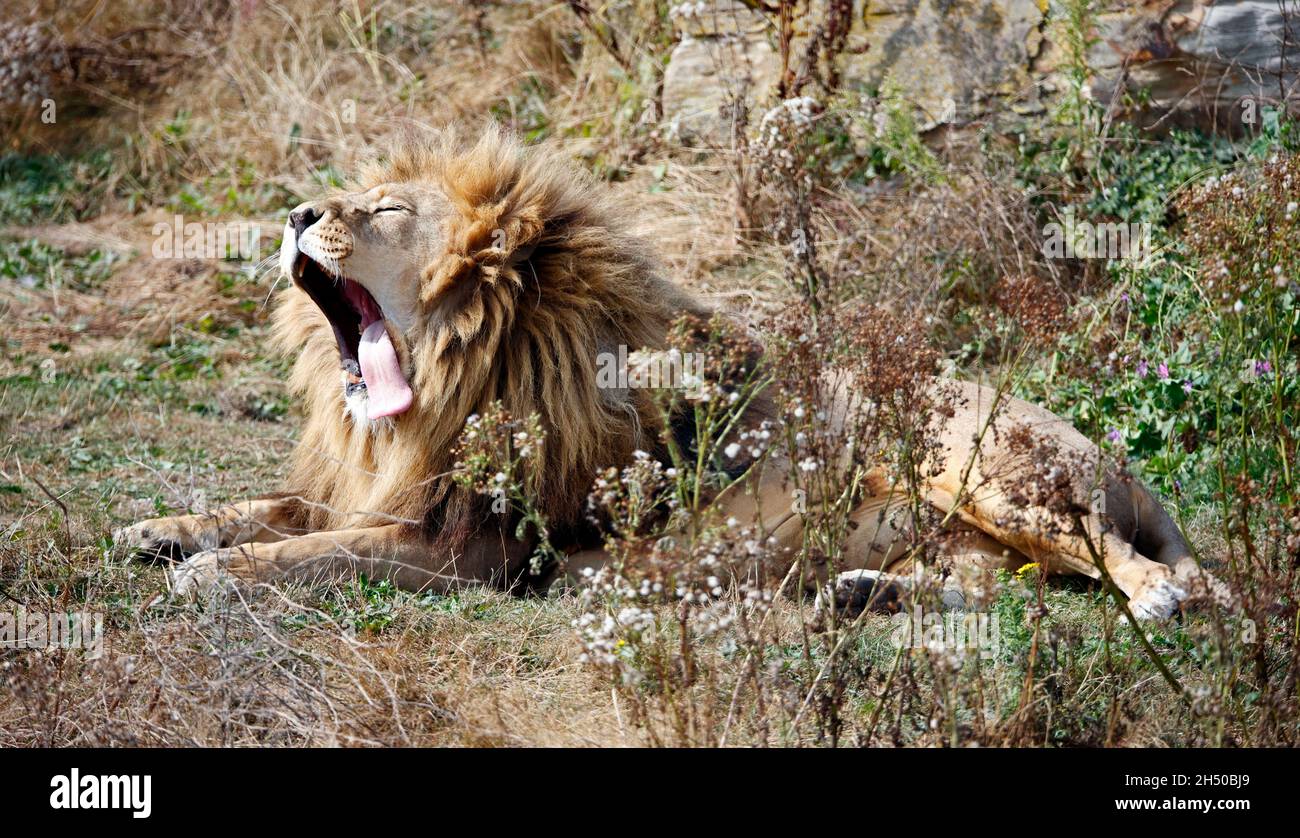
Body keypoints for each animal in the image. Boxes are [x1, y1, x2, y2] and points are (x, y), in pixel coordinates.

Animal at [115, 127, 1218, 621]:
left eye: (386, 209)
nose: (298, 212)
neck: (437, 394)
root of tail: (1119, 463)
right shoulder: (377, 486)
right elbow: (273, 508)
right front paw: (160, 528)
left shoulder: (468, 549)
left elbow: (319, 552)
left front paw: (218, 571)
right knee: (999, 580)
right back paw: (863, 590)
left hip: (981, 466)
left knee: (1155, 569)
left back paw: (1156, 601)